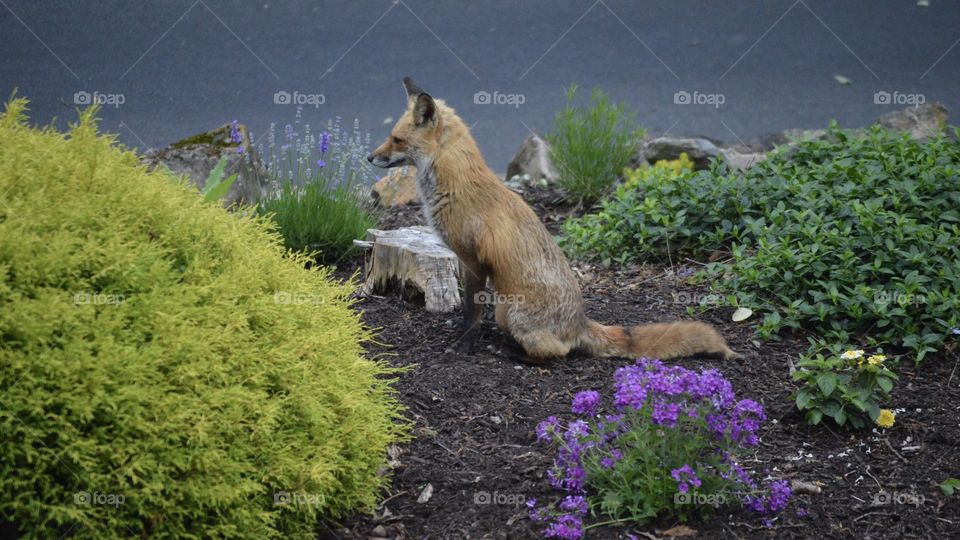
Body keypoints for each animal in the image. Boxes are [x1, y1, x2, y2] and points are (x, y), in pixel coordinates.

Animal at [368, 76, 744, 362]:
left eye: (396, 139)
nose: (370, 157)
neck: (457, 185)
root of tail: (580, 322)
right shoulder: (463, 260)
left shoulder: (473, 259)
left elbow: (471, 313)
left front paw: (463, 345)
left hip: (508, 311)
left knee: (557, 354)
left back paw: (515, 354)